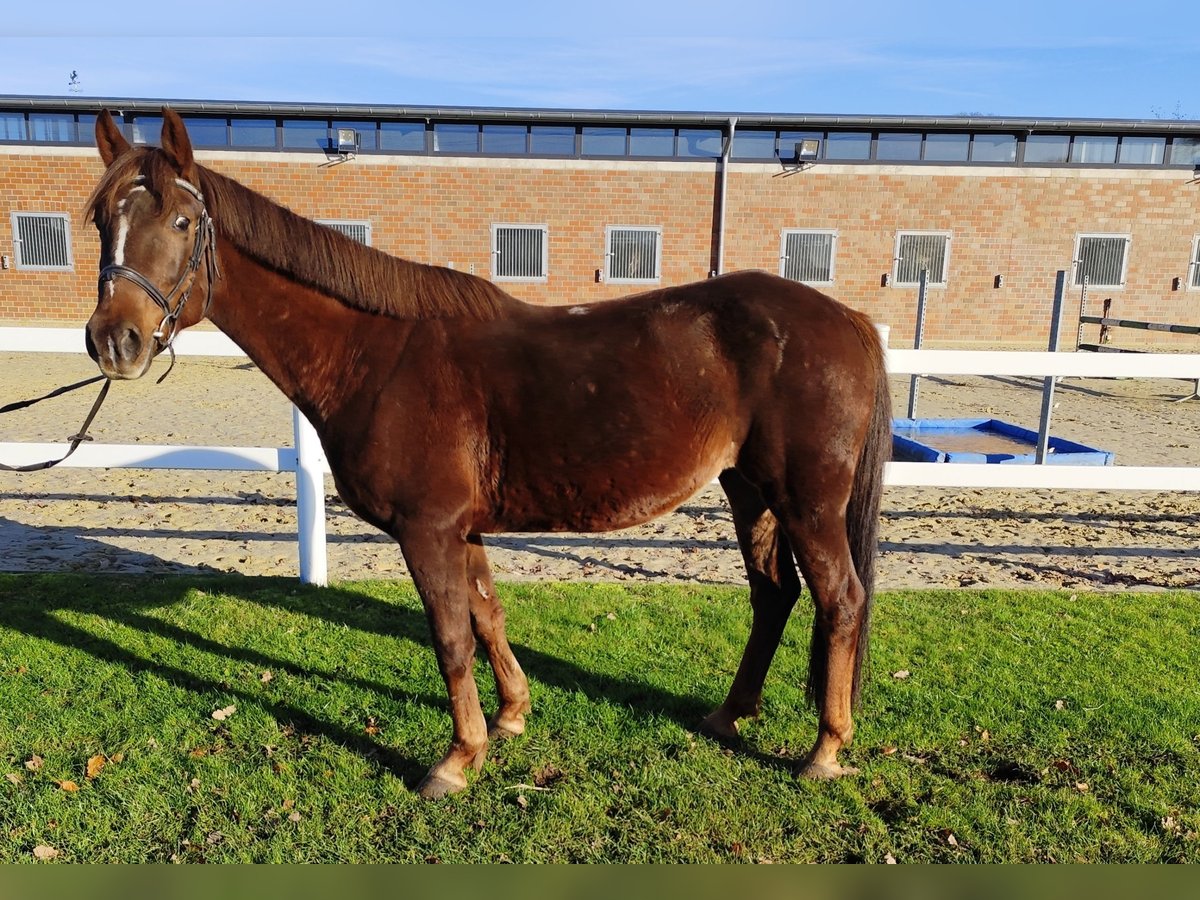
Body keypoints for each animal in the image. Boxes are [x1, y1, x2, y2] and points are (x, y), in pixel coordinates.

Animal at [84, 109, 892, 801]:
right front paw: (509, 717)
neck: (376, 354)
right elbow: (486, 615)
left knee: (839, 600)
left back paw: (825, 749)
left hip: (807, 502)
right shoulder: (462, 528)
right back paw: (730, 715)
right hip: (748, 489)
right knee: (774, 595)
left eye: (183, 220)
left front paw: (455, 759)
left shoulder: (428, 529)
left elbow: (449, 636)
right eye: (101, 221)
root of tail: (847, 318)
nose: (114, 340)